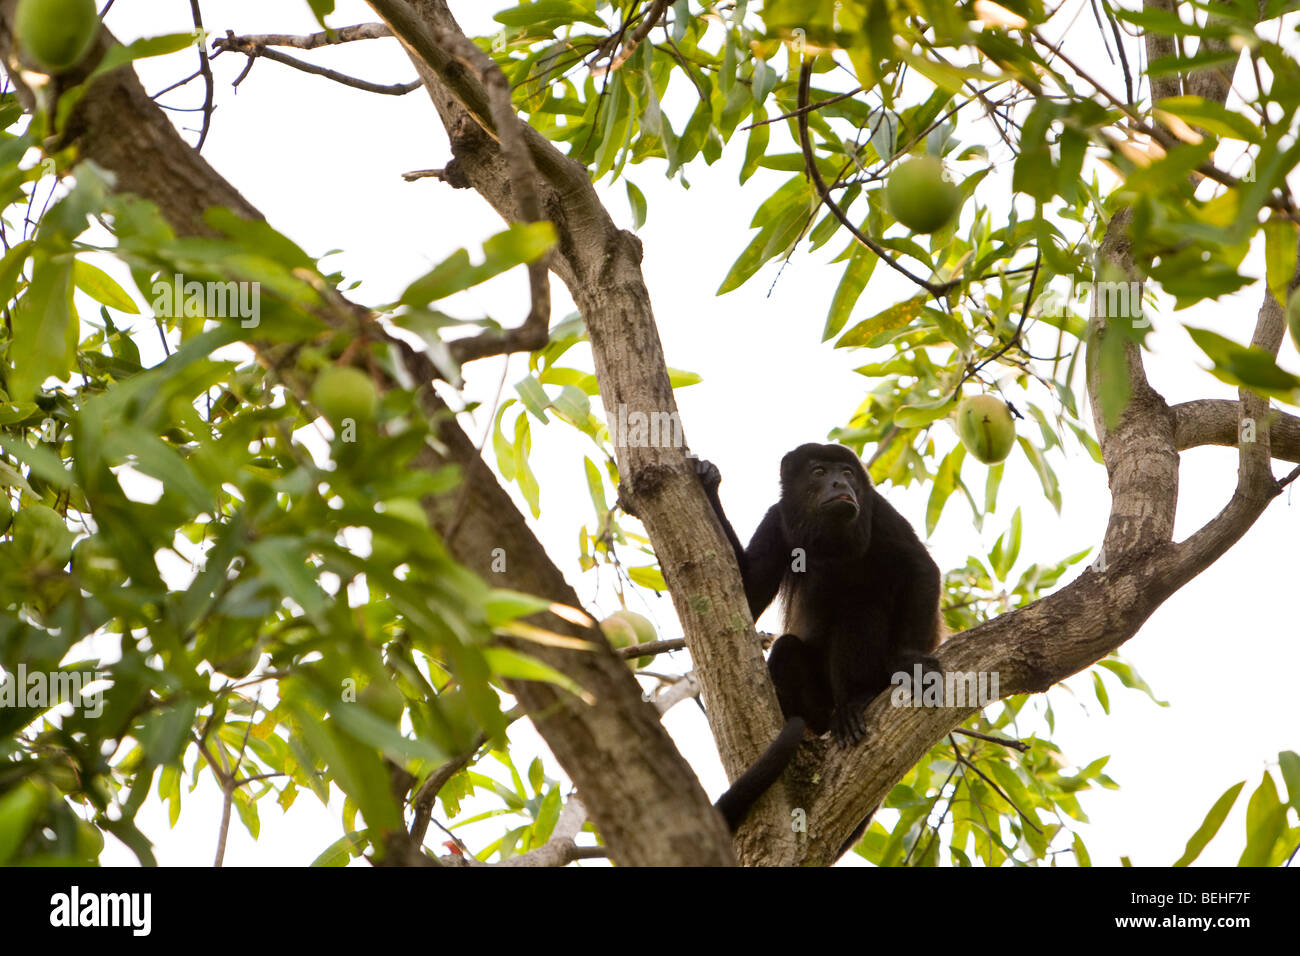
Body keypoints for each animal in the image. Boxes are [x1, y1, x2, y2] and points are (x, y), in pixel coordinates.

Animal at [706, 443, 943, 834]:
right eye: (818, 472)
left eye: (846, 472)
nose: (838, 483)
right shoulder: (776, 520)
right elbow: (746, 593)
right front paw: (708, 482)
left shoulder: (880, 511)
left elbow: (921, 568)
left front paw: (910, 660)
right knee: (787, 649)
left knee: (861, 607)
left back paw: (858, 699)